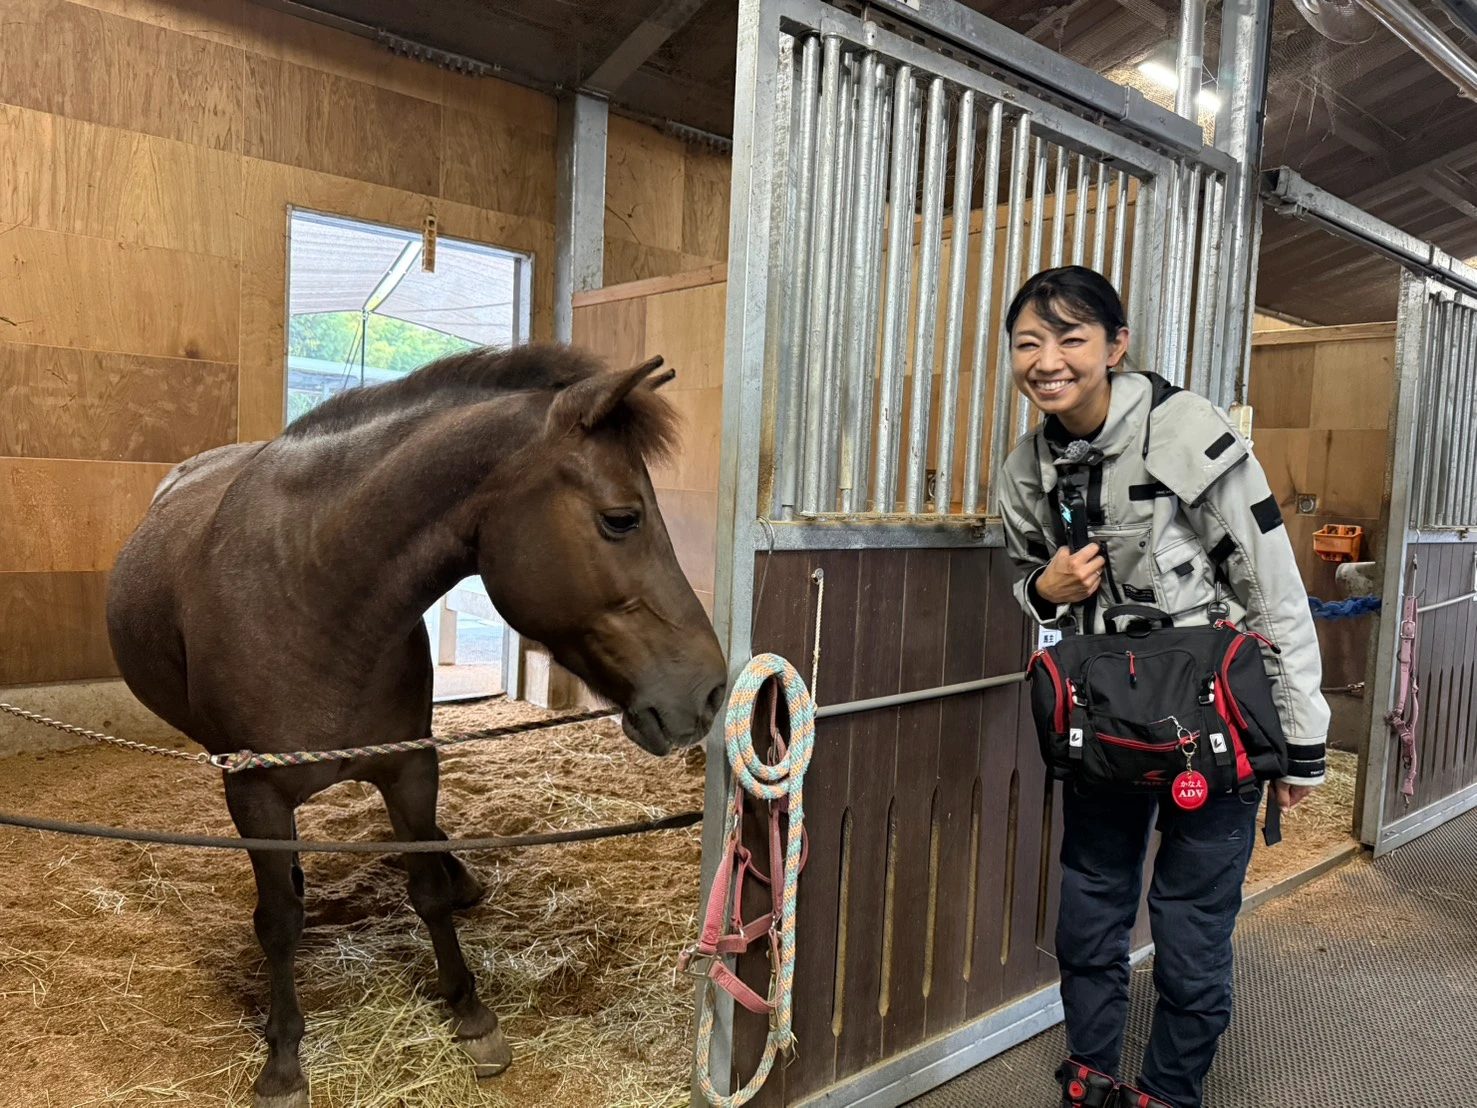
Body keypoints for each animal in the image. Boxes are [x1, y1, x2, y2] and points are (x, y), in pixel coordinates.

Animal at [104, 344, 728, 1108]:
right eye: (621, 518)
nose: (710, 690)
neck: (313, 595)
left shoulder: (410, 765)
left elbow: (426, 889)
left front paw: (470, 1012)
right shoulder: (255, 792)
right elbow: (279, 923)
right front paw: (283, 1059)